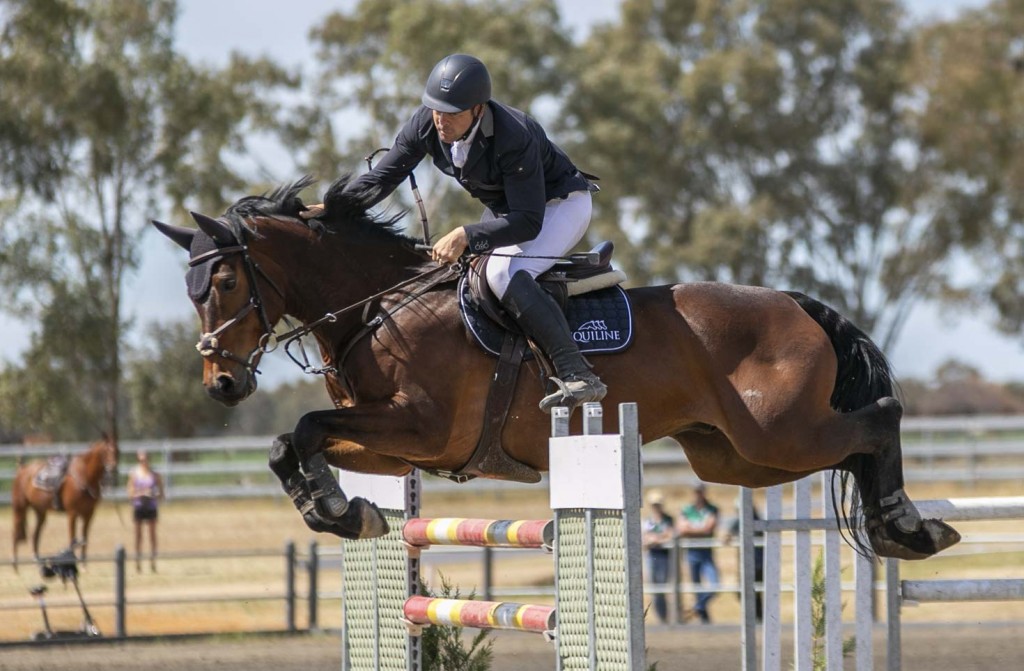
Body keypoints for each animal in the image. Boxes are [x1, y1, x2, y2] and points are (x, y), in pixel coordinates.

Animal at [11, 440, 117, 573]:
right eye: (105, 452)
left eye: (117, 450)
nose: (113, 469)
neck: (83, 476)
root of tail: (22, 469)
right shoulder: (72, 513)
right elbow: (72, 538)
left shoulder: (89, 514)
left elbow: (84, 538)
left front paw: (83, 565)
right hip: (19, 508)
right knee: (16, 532)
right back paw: (15, 566)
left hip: (40, 512)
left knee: (35, 535)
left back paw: (38, 562)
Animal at [149, 177, 958, 561]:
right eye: (189, 290)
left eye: (226, 282)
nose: (223, 384)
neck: (380, 306)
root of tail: (796, 304)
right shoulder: (393, 444)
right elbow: (292, 440)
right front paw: (342, 509)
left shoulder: (423, 430)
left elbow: (306, 427)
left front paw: (335, 510)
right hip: (736, 457)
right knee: (851, 444)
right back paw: (905, 528)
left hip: (776, 433)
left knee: (879, 421)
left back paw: (906, 525)